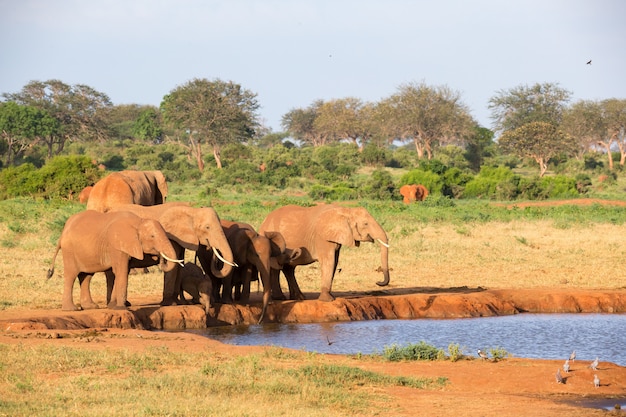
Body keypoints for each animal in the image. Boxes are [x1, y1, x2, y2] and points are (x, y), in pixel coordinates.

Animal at [45, 210, 178, 310]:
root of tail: (64, 230)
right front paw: (121, 308)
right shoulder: (117, 245)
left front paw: (113, 306)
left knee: (86, 276)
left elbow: (121, 272)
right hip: (69, 251)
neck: (138, 221)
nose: (160, 257)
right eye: (152, 236)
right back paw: (71, 309)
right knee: (71, 275)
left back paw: (90, 307)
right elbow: (121, 271)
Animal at [107, 203, 236, 308]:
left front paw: (179, 303)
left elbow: (179, 265)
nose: (211, 247)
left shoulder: (181, 240)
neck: (192, 211)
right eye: (207, 227)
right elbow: (173, 265)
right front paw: (170, 304)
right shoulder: (172, 237)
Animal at [256, 203, 388, 300]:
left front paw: (331, 297)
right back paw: (280, 298)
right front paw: (327, 300)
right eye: (365, 224)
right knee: (276, 267)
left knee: (288, 268)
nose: (378, 282)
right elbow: (328, 261)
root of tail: (264, 221)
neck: (345, 210)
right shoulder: (322, 237)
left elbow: (334, 262)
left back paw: (298, 297)